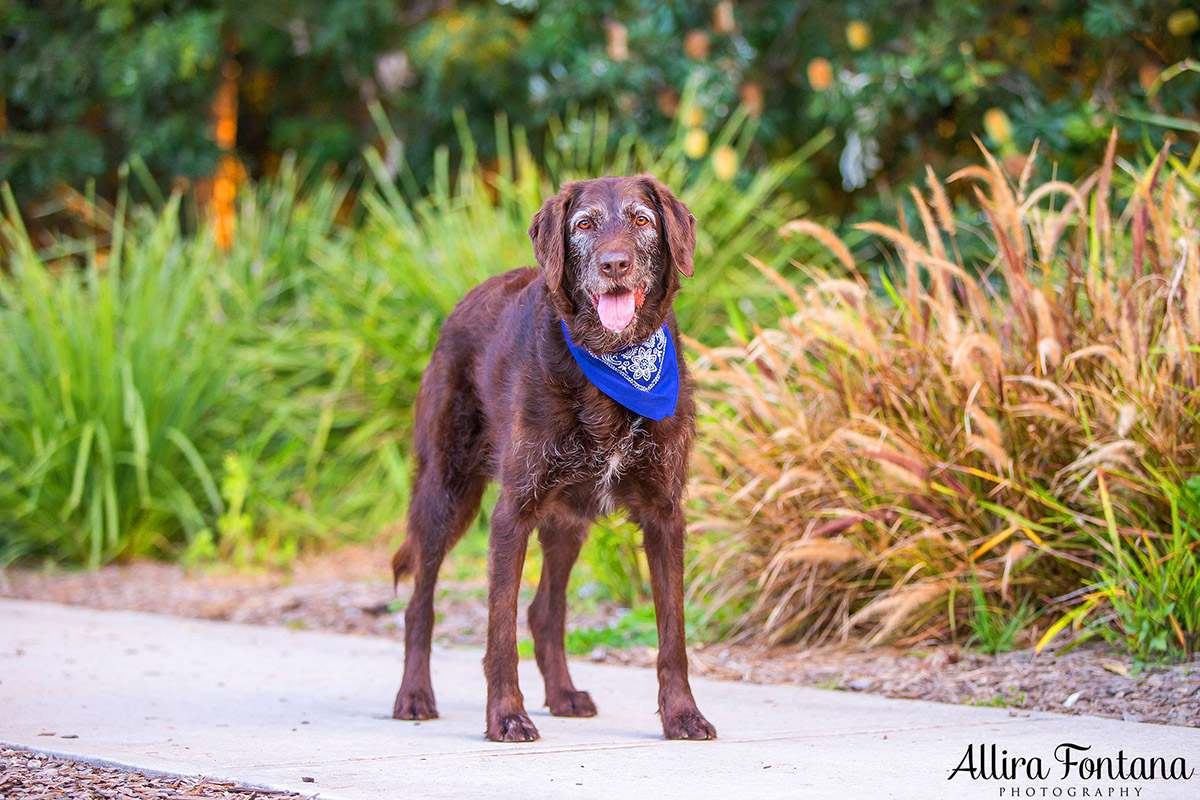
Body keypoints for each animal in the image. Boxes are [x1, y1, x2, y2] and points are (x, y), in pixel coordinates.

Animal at [391, 172, 710, 743]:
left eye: (642, 220)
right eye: (583, 225)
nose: (613, 265)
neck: (614, 360)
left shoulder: (664, 513)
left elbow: (673, 634)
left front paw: (682, 714)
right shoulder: (512, 511)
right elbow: (499, 629)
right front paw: (505, 716)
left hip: (568, 518)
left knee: (545, 611)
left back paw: (563, 694)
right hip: (445, 493)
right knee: (418, 605)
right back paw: (414, 696)